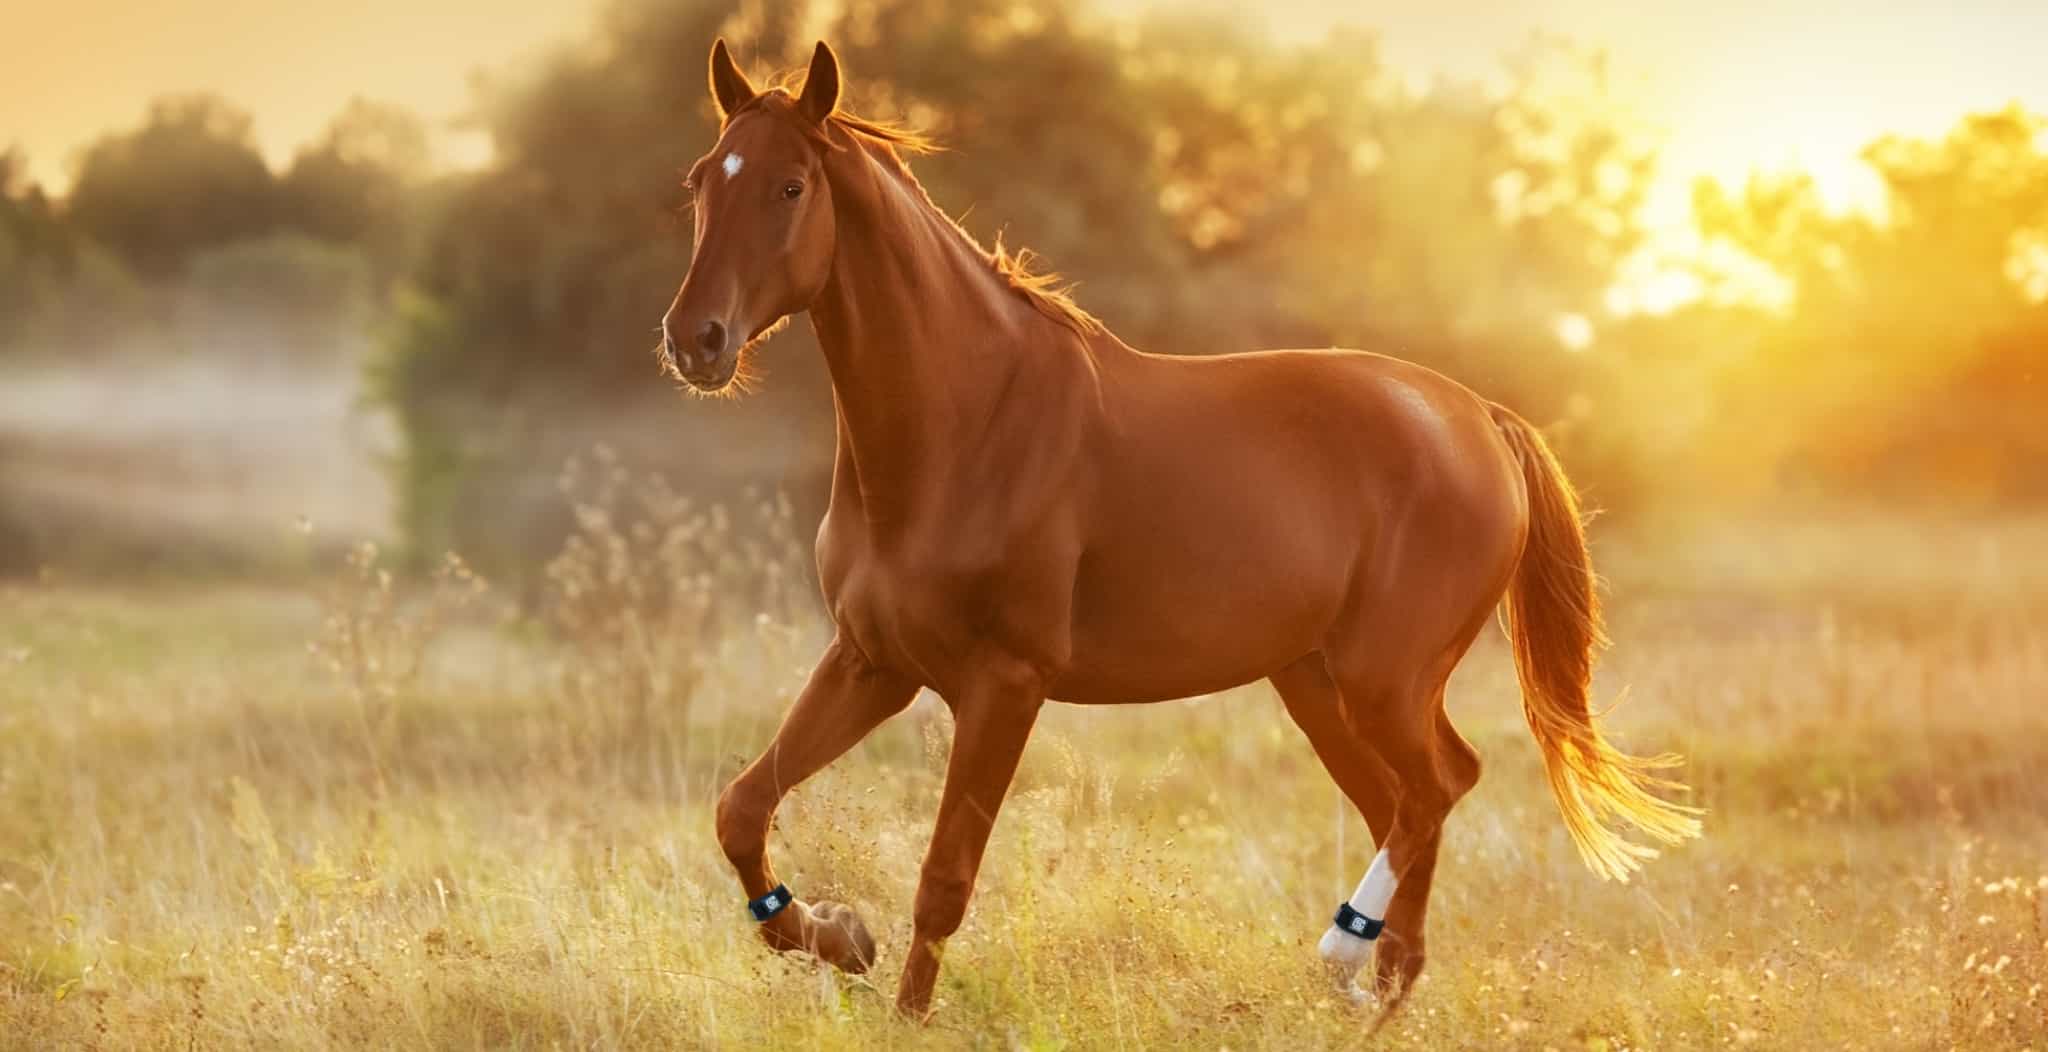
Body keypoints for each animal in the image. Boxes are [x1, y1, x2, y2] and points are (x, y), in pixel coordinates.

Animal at [657, 39, 1701, 1020]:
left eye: (792, 185)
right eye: (702, 178)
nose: (694, 340)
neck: (967, 421)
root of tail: (1477, 417)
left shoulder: (1004, 686)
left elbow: (943, 880)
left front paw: (897, 999)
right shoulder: (873, 663)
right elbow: (741, 810)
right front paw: (836, 935)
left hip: (1383, 682)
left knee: (1440, 786)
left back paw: (1343, 954)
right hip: (1318, 686)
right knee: (1406, 809)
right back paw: (1374, 989)